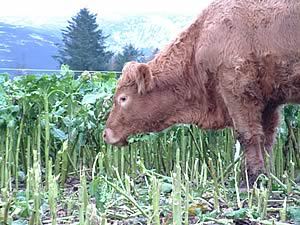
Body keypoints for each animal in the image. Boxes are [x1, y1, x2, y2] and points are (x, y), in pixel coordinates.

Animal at [104, 0, 300, 184]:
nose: (106, 133)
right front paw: (267, 178)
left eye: (123, 98)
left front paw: (251, 180)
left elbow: (248, 136)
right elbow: (266, 140)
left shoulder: (238, 94)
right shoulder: (269, 103)